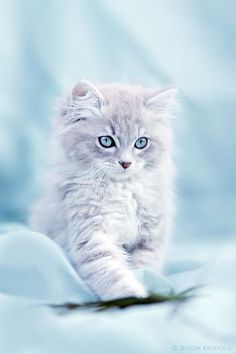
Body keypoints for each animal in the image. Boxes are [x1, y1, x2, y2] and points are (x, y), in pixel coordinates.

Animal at [29, 81, 176, 302]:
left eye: (141, 142)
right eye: (106, 141)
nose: (125, 163)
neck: (122, 188)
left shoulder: (150, 235)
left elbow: (145, 265)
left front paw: (146, 285)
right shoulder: (91, 233)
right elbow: (110, 272)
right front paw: (133, 295)